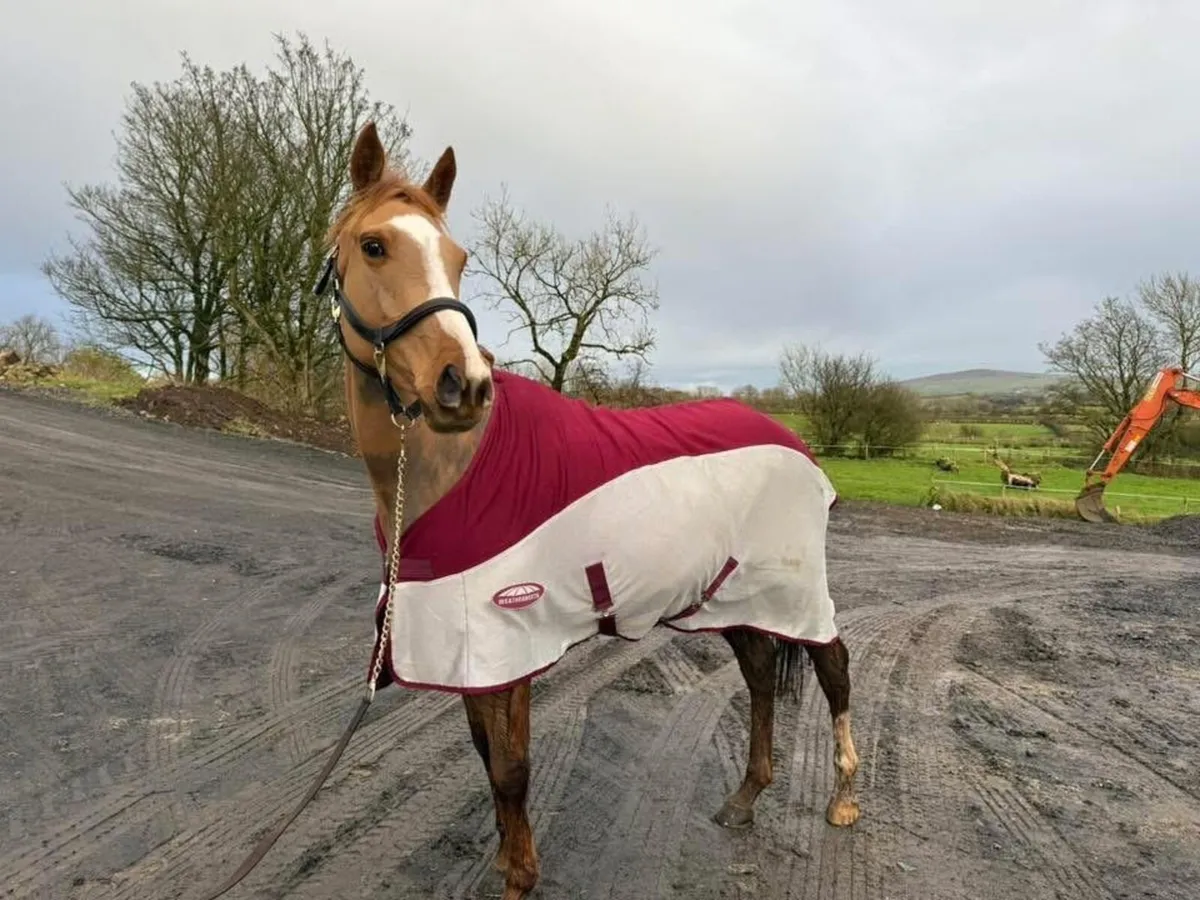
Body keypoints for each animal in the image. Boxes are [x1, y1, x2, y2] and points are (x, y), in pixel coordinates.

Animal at [327, 121, 862, 900]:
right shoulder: (468, 644)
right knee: (762, 675)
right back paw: (744, 798)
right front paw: (508, 862)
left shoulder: (510, 641)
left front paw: (520, 878)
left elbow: (511, 769)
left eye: (458, 258)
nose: (464, 385)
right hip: (734, 595)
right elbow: (486, 757)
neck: (459, 470)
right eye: (374, 245)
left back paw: (845, 796)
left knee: (834, 666)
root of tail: (794, 441)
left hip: (795, 589)